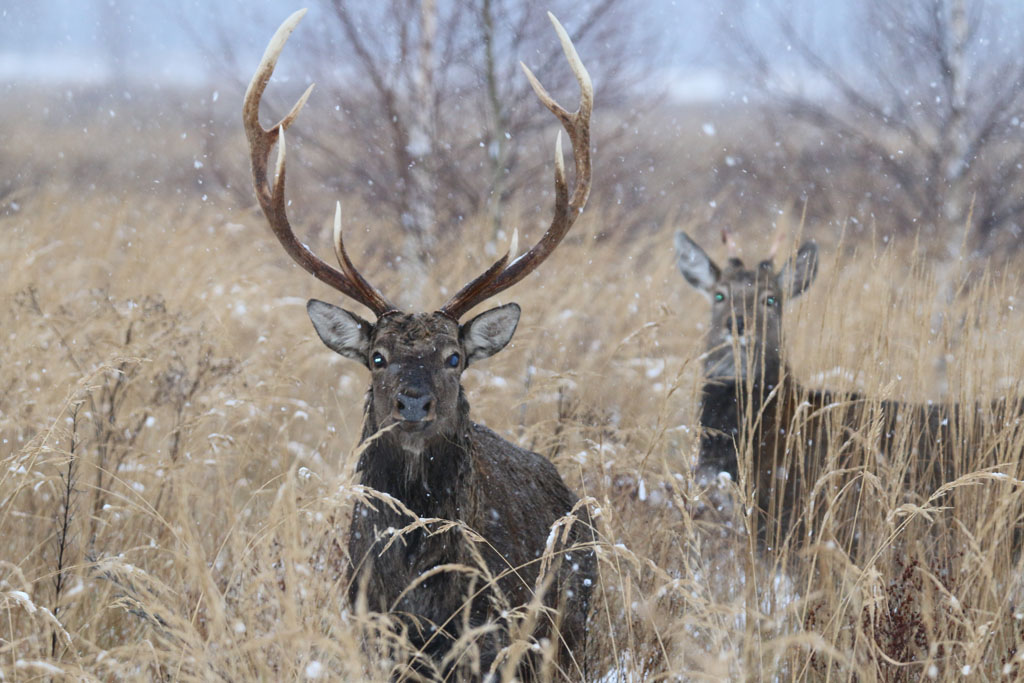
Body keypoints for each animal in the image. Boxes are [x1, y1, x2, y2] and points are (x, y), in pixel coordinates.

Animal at [244, 7, 598, 679]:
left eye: (454, 357)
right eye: (376, 357)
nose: (413, 402)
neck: (418, 592)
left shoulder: (490, 635)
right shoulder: (369, 628)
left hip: (571, 628)